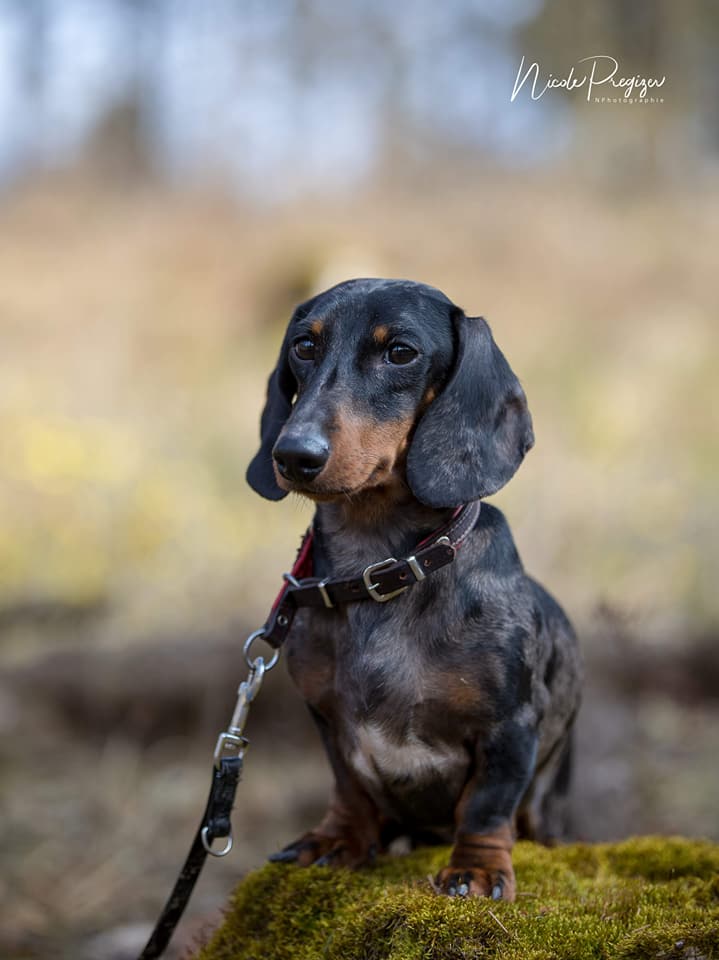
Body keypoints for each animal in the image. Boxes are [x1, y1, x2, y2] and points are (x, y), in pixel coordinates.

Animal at [246, 278, 580, 900]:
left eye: (400, 352)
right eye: (304, 345)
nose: (293, 455)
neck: (380, 571)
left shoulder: (511, 727)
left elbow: (486, 805)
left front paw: (476, 868)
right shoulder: (327, 719)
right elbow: (349, 786)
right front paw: (339, 840)